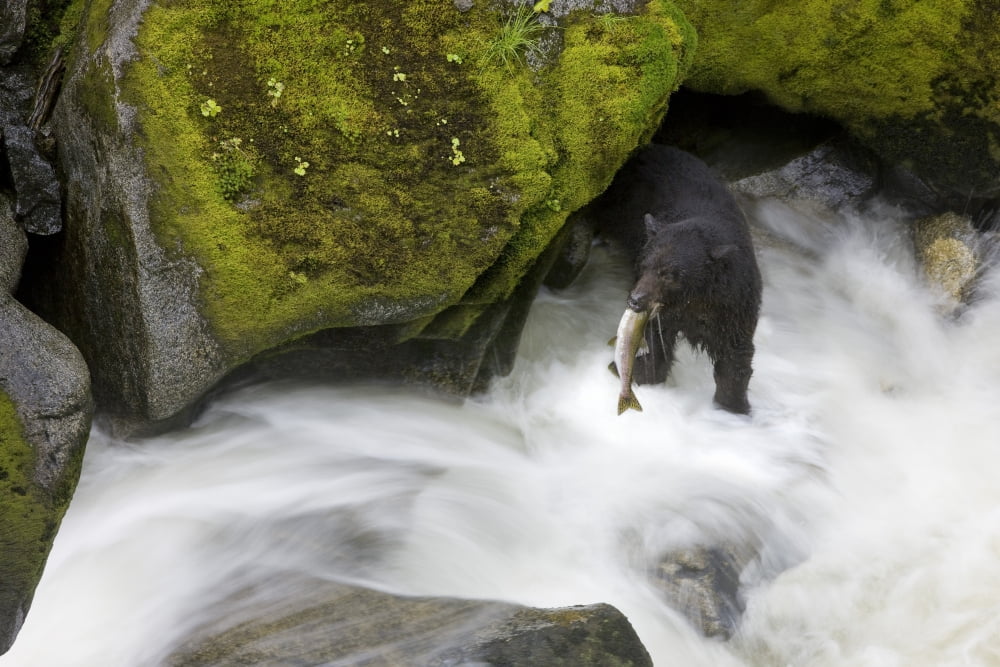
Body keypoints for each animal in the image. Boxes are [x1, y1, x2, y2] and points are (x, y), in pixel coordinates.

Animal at [592, 143, 762, 415]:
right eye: (644, 265)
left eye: (670, 274)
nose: (635, 300)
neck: (695, 299)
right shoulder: (665, 312)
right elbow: (656, 337)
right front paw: (643, 372)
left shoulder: (735, 305)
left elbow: (735, 355)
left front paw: (734, 406)